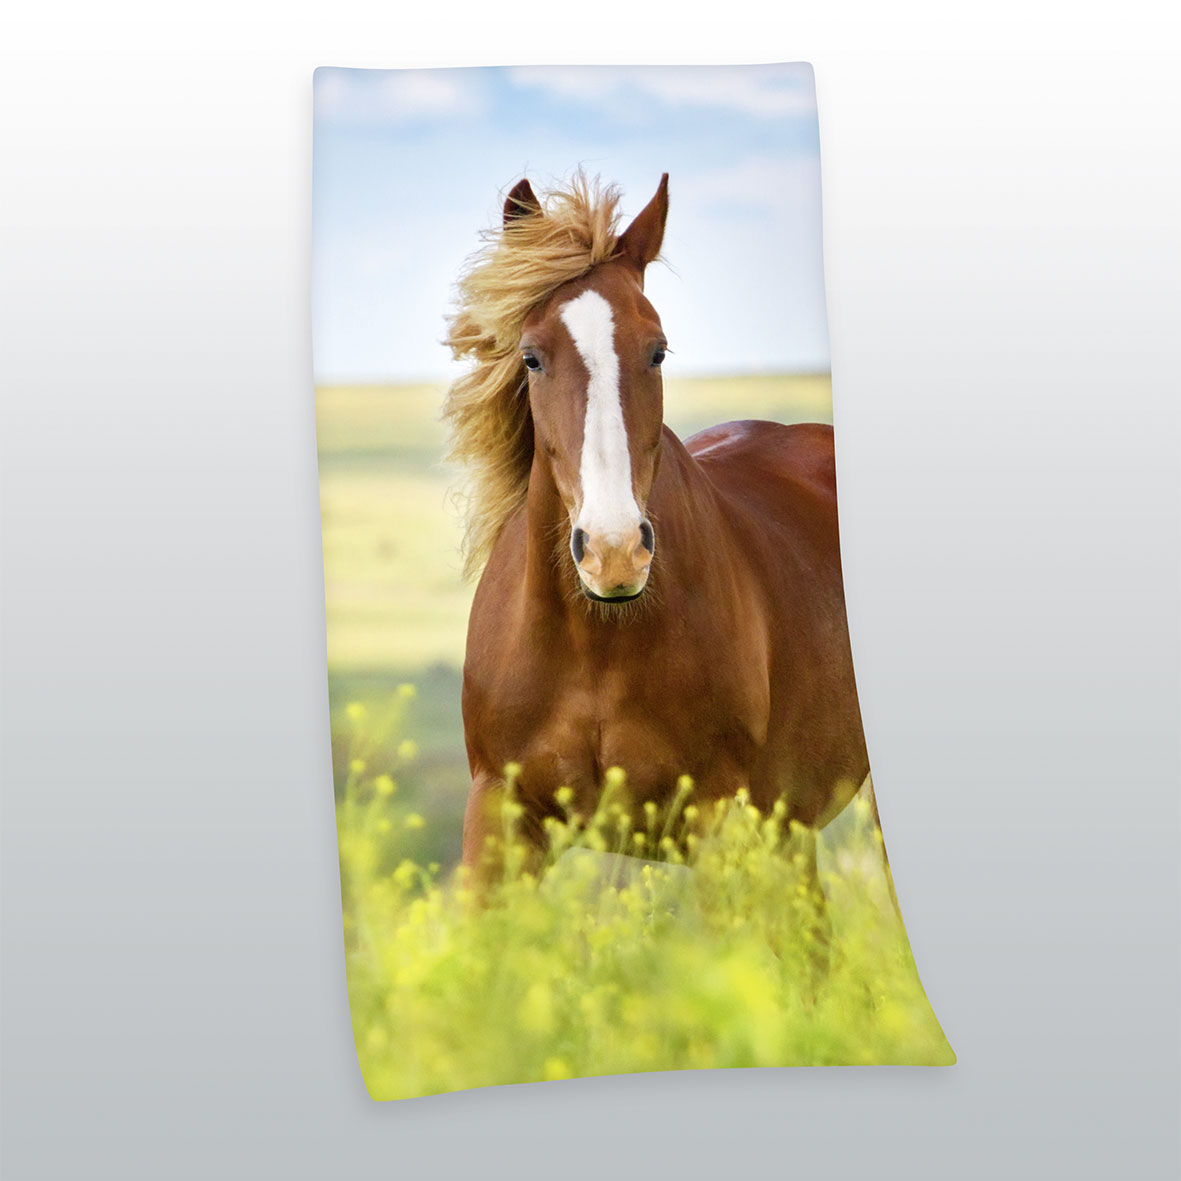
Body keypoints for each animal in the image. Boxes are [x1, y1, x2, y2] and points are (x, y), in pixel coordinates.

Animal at [443, 172, 870, 876]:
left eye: (658, 351)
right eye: (531, 358)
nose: (614, 553)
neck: (596, 643)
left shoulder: (719, 820)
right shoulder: (498, 816)